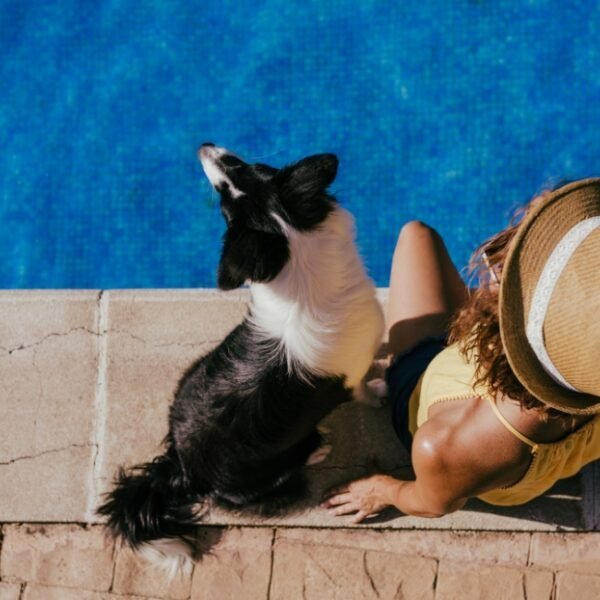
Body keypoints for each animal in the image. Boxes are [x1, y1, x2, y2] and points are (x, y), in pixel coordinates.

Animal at [96, 144, 382, 572]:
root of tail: (182, 469)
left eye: (248, 167)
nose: (205, 146)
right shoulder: (354, 371)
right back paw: (317, 448)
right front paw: (381, 389)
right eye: (224, 205)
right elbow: (365, 386)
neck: (297, 259)